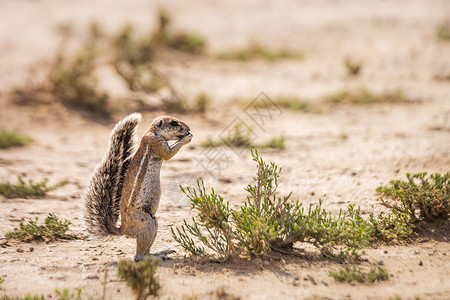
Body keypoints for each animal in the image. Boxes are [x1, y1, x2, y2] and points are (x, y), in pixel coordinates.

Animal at [83, 112, 192, 260]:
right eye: (174, 123)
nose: (188, 129)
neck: (152, 132)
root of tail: (123, 229)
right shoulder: (156, 143)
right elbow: (168, 154)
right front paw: (187, 138)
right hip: (146, 223)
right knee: (138, 257)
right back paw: (154, 257)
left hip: (154, 221)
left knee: (145, 250)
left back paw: (159, 252)